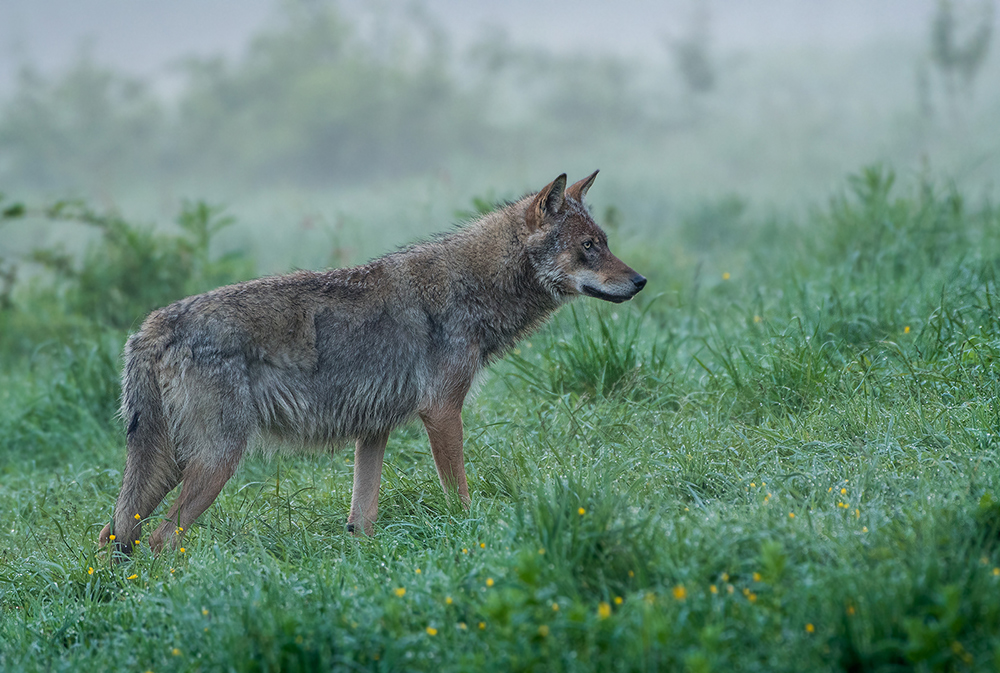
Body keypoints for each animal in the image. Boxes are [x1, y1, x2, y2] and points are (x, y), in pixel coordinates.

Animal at [99, 171, 648, 552]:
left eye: (605, 244)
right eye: (588, 247)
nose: (641, 281)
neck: (471, 288)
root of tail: (152, 326)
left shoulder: (374, 430)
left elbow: (361, 520)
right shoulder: (441, 413)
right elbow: (459, 496)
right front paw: (471, 536)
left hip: (169, 467)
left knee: (113, 536)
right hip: (213, 463)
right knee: (158, 540)